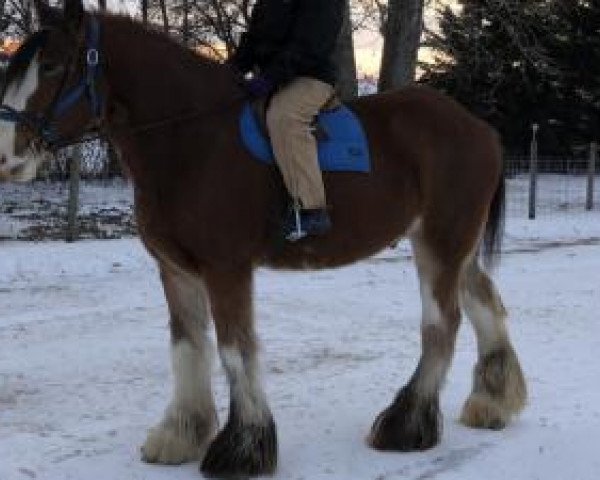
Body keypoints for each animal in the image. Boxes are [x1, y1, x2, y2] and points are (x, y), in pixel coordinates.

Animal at [0, 1, 524, 478]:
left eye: (51, 66)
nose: (6, 160)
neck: (190, 138)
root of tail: (479, 128)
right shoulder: (174, 269)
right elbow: (187, 346)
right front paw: (180, 435)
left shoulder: (226, 269)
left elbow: (234, 350)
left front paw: (243, 448)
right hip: (450, 247)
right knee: (485, 305)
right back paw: (492, 403)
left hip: (441, 243)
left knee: (443, 324)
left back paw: (406, 424)